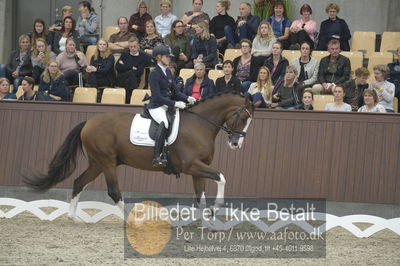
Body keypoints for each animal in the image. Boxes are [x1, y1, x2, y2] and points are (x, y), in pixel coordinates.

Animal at [25, 92, 255, 221]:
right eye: (244, 118)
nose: (236, 144)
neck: (200, 124)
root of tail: (88, 122)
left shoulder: (198, 169)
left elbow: (201, 196)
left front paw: (206, 221)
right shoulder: (191, 166)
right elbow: (222, 177)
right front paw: (217, 207)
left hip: (97, 163)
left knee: (79, 182)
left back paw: (73, 217)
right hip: (107, 162)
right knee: (113, 192)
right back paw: (132, 219)